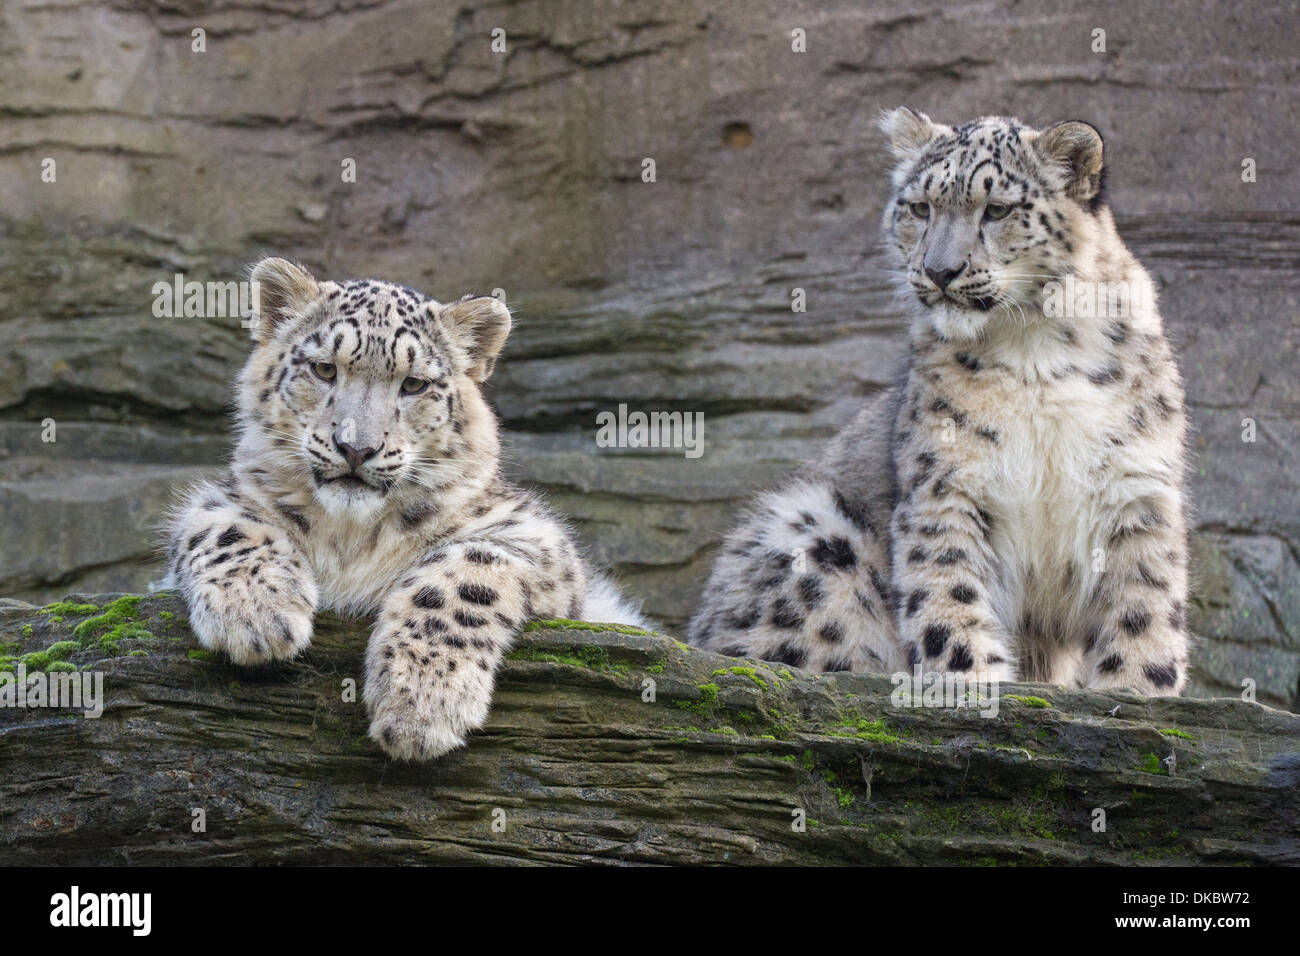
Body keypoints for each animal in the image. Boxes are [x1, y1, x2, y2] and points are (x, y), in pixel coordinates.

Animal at [165, 257, 647, 759]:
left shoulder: (536, 538)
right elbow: (223, 526)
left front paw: (422, 700)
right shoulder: (230, 495)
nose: (356, 448)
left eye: (414, 384)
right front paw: (255, 614)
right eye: (323, 369)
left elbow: (468, 570)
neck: (350, 537)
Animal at [691, 110, 1190, 697]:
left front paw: (1137, 687)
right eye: (920, 208)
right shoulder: (945, 484)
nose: (939, 270)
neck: (1036, 349)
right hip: (811, 528)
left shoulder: (1137, 483)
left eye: (997, 209)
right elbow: (949, 590)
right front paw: (970, 679)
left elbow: (1144, 599)